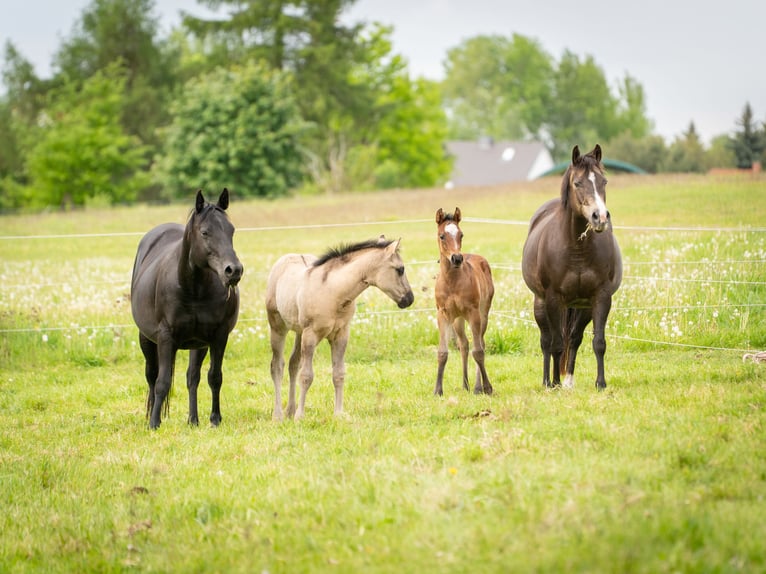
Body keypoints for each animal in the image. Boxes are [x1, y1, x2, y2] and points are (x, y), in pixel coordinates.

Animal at [130, 189, 243, 429]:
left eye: (231, 230)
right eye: (205, 232)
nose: (234, 270)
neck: (193, 289)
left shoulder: (218, 337)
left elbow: (214, 377)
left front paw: (215, 419)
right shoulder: (165, 337)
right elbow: (162, 381)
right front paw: (154, 423)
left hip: (198, 345)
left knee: (193, 378)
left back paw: (193, 419)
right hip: (146, 339)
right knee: (152, 375)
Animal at [265, 236, 415, 420]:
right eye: (400, 269)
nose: (409, 299)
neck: (333, 292)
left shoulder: (341, 335)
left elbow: (338, 374)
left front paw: (339, 414)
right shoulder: (311, 335)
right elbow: (306, 376)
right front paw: (300, 417)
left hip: (299, 332)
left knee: (293, 364)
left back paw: (290, 410)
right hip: (278, 326)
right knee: (277, 366)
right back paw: (278, 414)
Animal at [433, 207, 495, 396]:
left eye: (461, 234)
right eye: (442, 236)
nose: (457, 259)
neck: (452, 282)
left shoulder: (473, 313)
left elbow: (479, 351)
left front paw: (487, 387)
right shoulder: (443, 314)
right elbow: (442, 352)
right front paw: (437, 390)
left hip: (483, 314)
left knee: (479, 343)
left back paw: (476, 387)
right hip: (458, 319)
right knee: (464, 344)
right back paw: (465, 385)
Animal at [521, 144, 622, 390]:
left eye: (604, 181)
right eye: (577, 183)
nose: (600, 217)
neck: (577, 248)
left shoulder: (601, 297)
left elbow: (598, 342)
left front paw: (600, 383)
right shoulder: (553, 298)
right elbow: (556, 344)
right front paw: (554, 383)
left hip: (583, 307)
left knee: (575, 338)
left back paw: (568, 380)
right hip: (541, 304)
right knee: (546, 341)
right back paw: (548, 381)